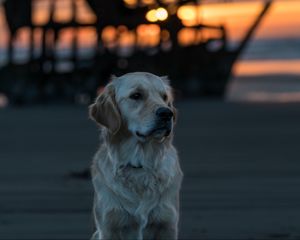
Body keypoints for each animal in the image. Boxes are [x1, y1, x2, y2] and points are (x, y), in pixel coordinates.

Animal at [89, 72, 183, 239]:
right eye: (136, 95)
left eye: (164, 97)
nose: (167, 113)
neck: (140, 164)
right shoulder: (109, 227)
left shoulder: (168, 225)